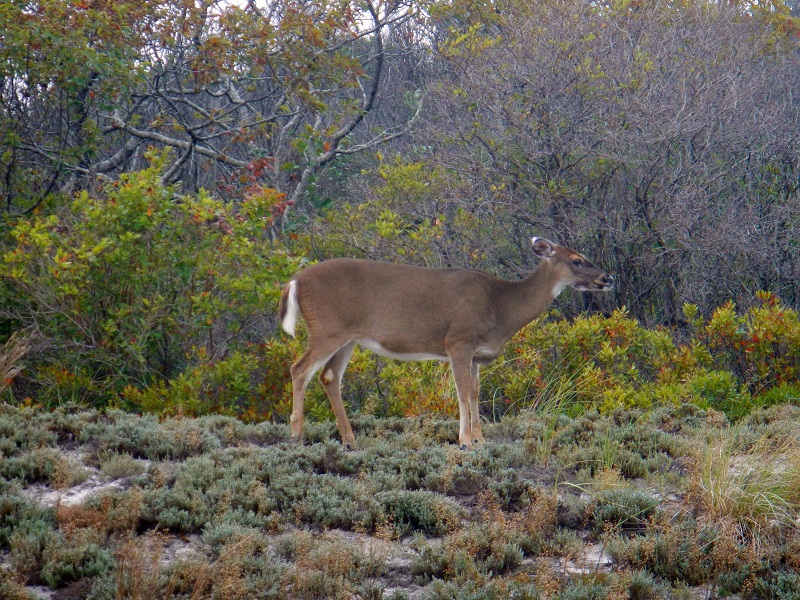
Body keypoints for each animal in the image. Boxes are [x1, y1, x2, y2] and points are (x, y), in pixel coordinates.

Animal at [276, 237, 612, 448]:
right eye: (577, 260)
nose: (607, 278)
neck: (501, 307)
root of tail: (294, 281)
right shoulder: (458, 340)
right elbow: (462, 393)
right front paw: (464, 441)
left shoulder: (476, 353)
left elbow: (475, 393)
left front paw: (479, 438)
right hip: (327, 329)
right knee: (299, 369)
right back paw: (297, 436)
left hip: (348, 337)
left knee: (329, 377)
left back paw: (349, 439)